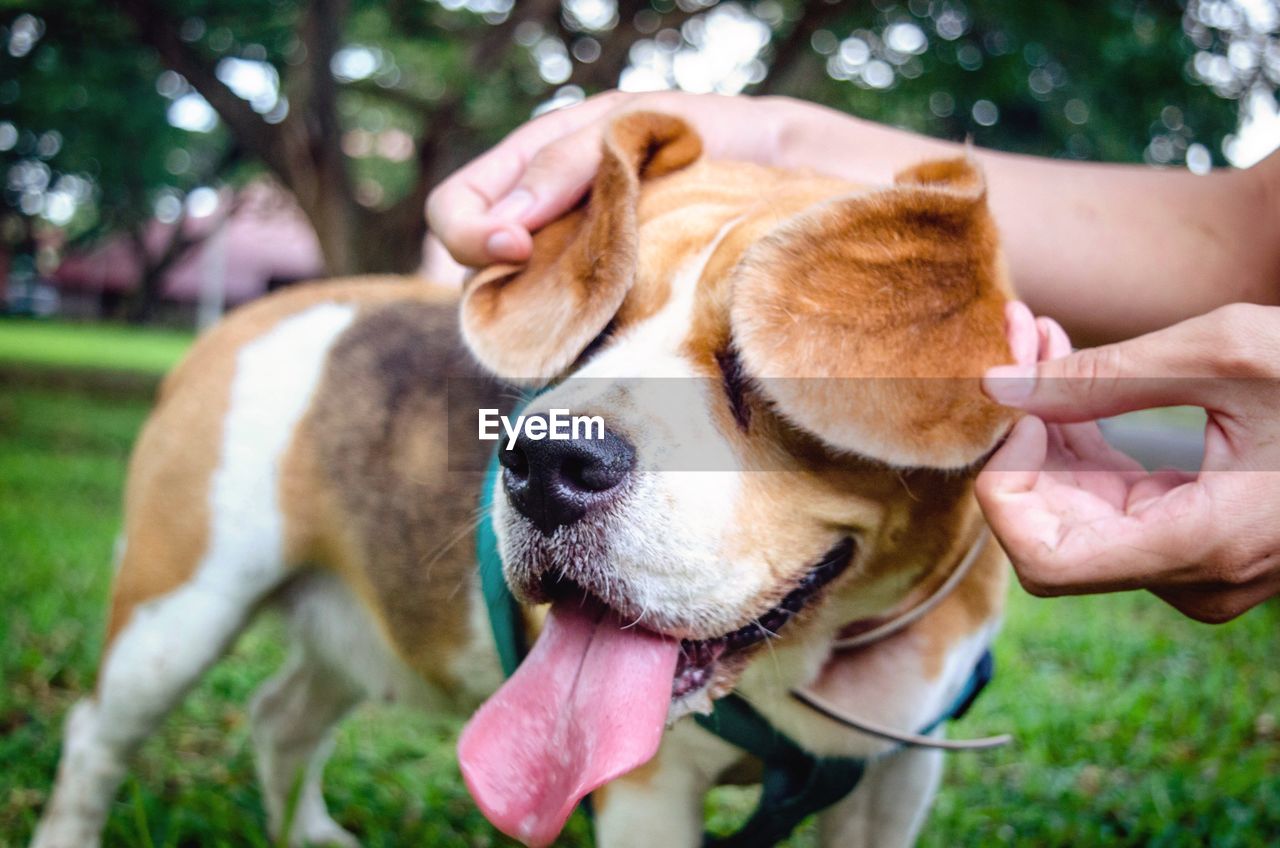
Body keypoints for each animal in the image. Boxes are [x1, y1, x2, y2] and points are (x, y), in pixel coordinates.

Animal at [32, 112, 1018, 848]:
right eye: (589, 331)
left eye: (756, 357)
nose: (547, 464)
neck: (821, 655)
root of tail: (250, 317)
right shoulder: (646, 794)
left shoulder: (897, 778)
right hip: (174, 616)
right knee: (95, 739)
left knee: (283, 718)